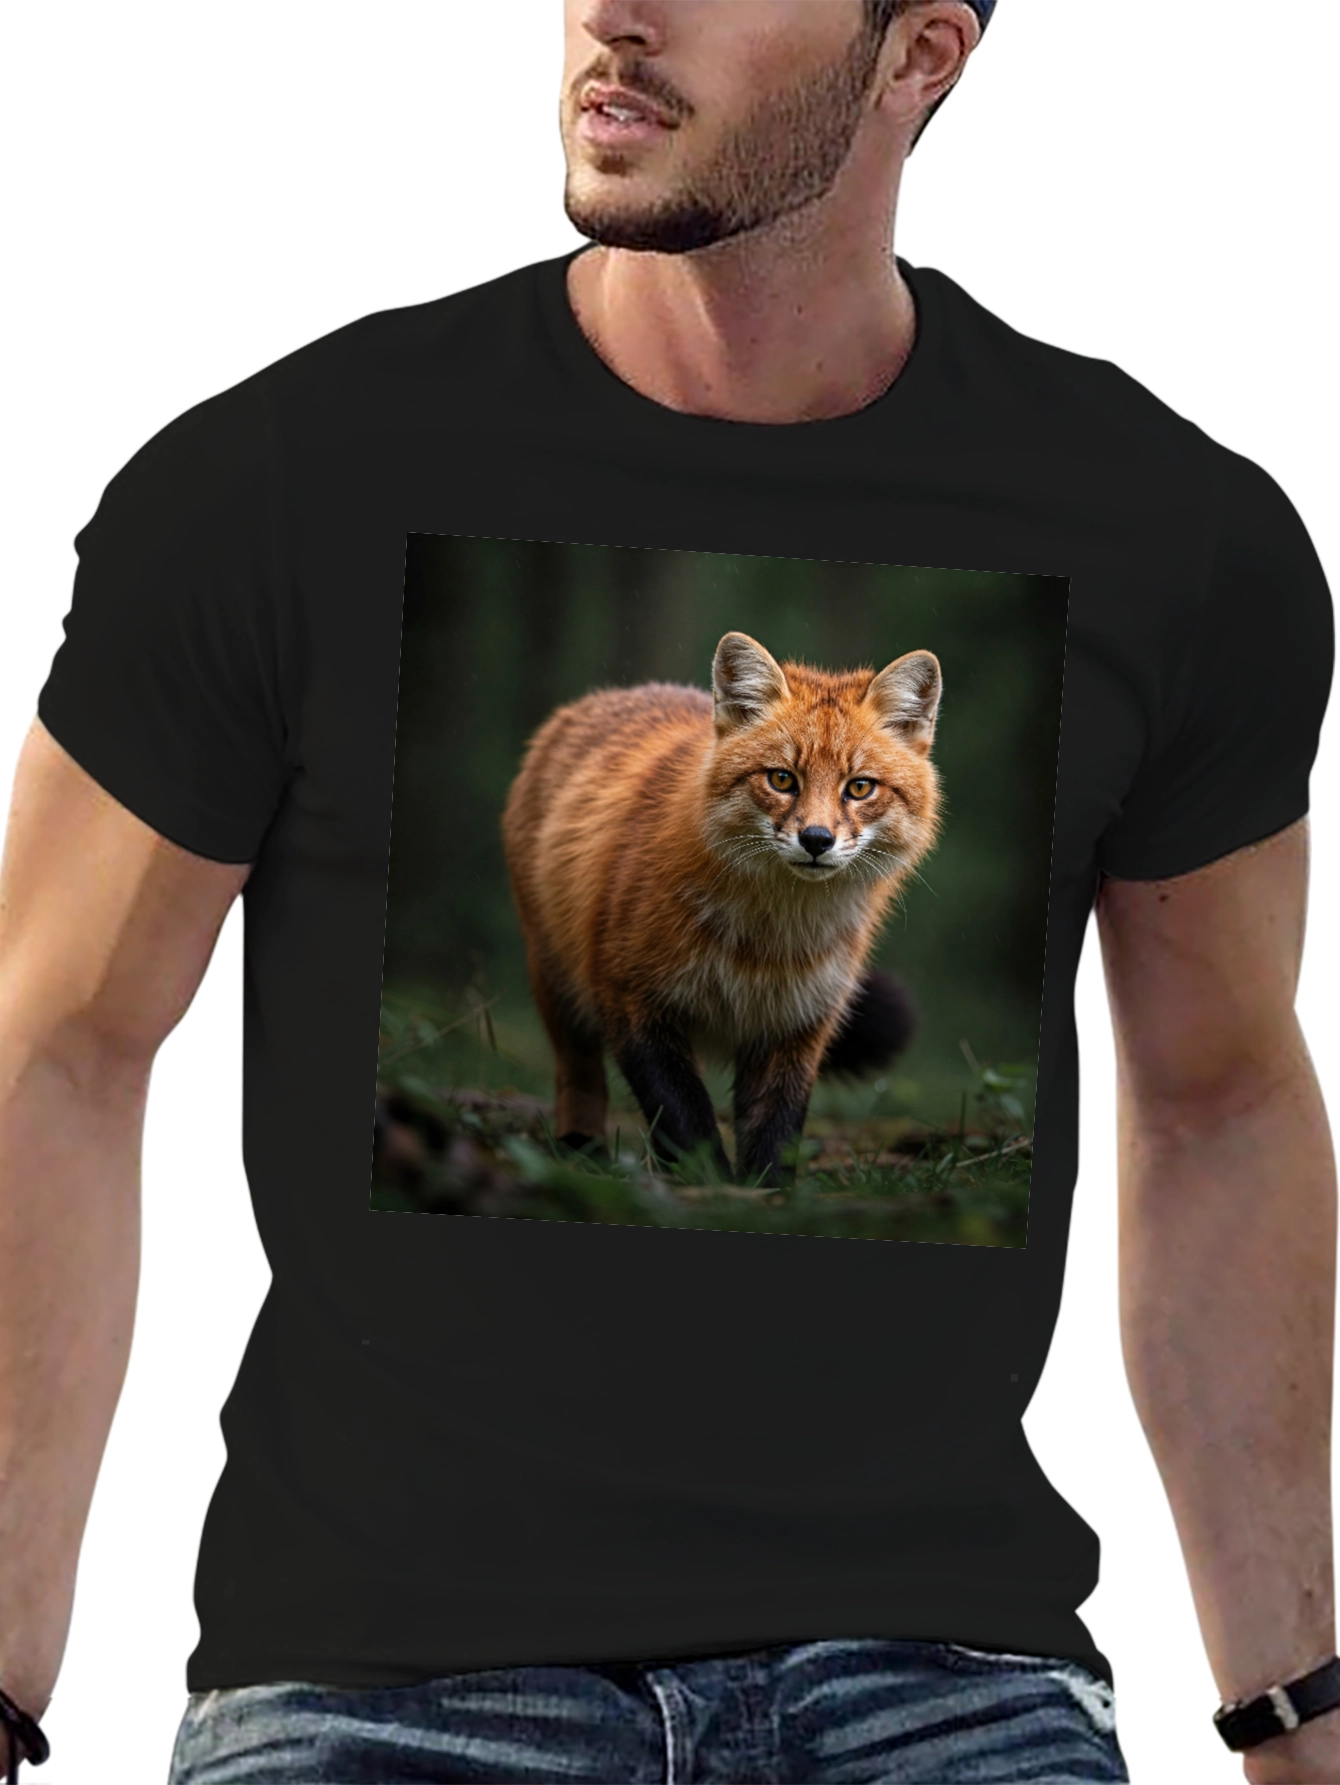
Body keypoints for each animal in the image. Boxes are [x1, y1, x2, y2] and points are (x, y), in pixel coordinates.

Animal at [500, 630, 943, 1188]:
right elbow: (683, 1116)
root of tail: (611, 695)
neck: (765, 946)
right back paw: (582, 1148)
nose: (816, 840)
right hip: (557, 983)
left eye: (859, 787)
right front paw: (708, 1185)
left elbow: (776, 1128)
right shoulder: (629, 997)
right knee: (577, 1074)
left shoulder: (798, 1021)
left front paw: (766, 1193)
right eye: (782, 779)